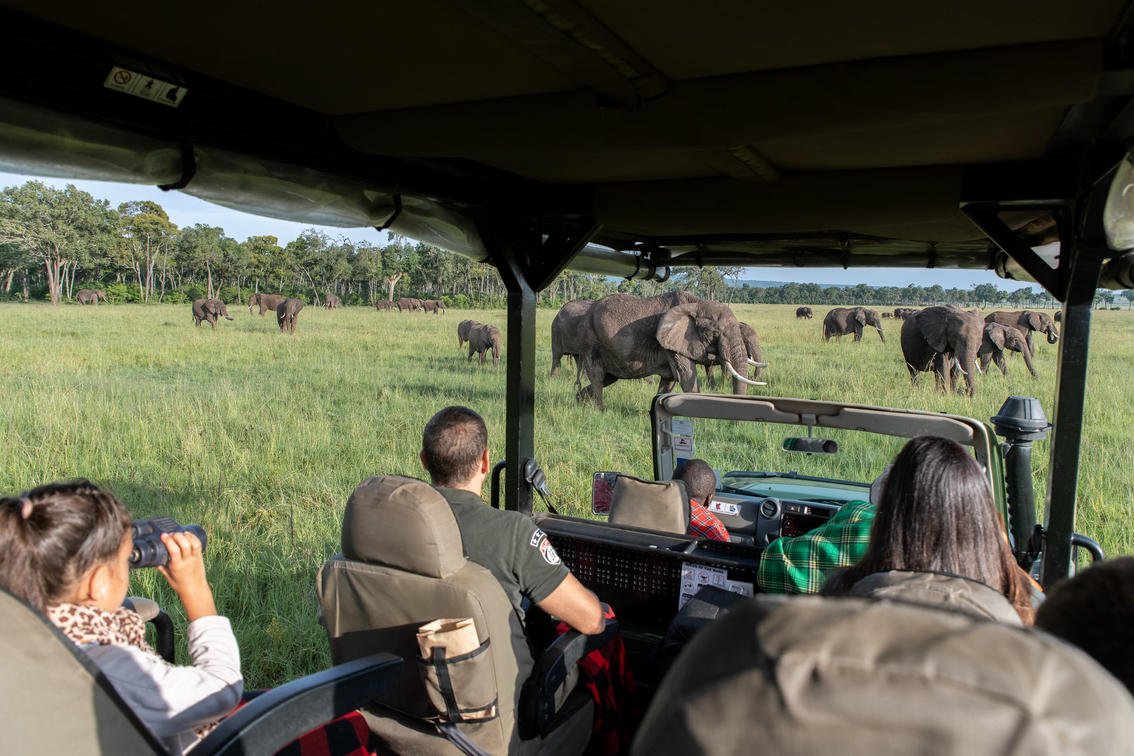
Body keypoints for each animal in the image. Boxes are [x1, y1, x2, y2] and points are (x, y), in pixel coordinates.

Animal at [579, 292, 765, 410]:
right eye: (715, 332)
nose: (734, 424)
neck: (696, 303)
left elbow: (670, 380)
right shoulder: (672, 342)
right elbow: (686, 376)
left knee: (608, 378)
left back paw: (578, 401)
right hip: (591, 341)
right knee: (597, 376)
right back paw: (600, 411)